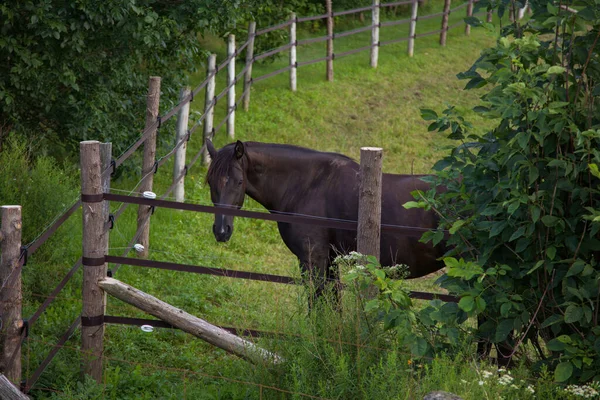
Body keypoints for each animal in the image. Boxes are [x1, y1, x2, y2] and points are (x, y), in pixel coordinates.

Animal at [206, 141, 446, 296]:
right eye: (209, 181)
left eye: (238, 181)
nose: (221, 231)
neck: (308, 185)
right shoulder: (330, 260)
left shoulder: (313, 260)